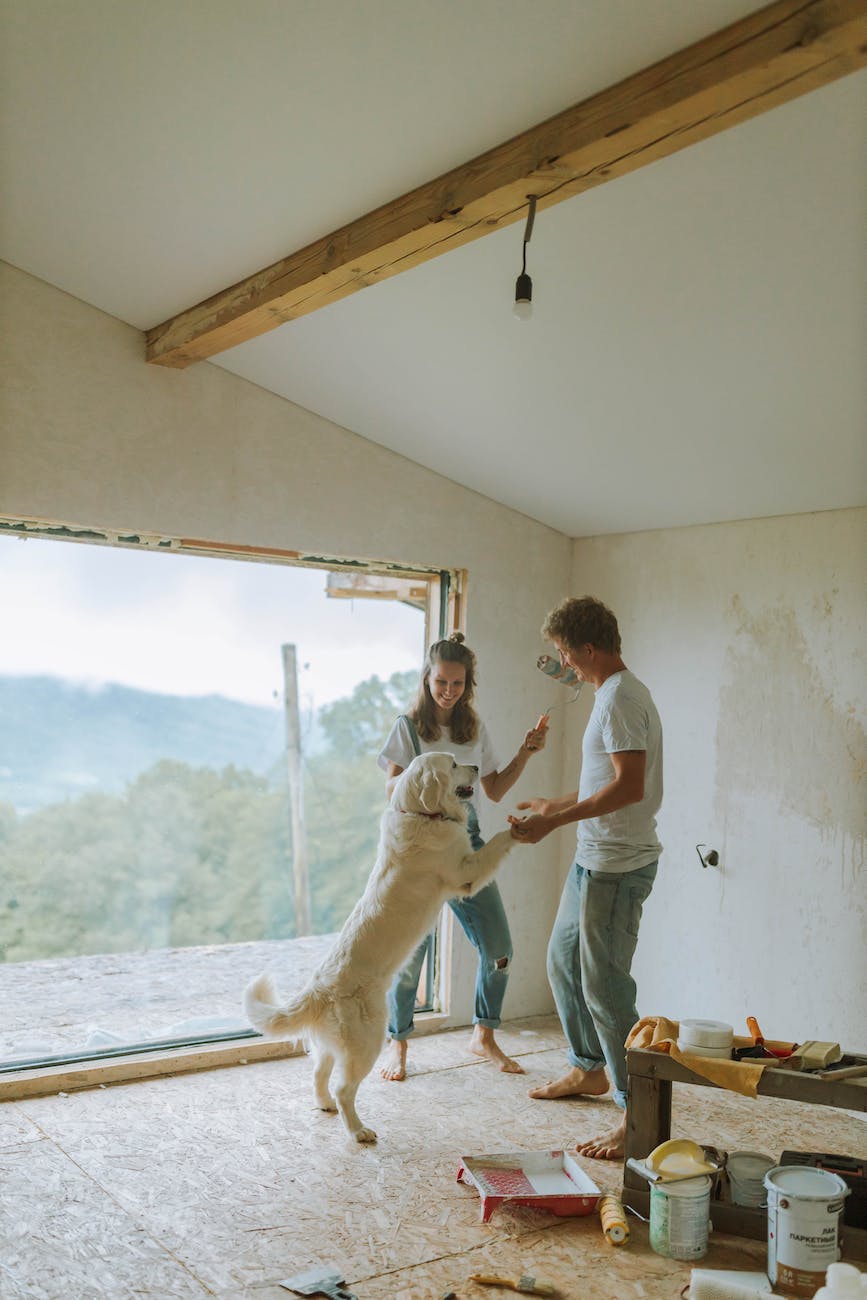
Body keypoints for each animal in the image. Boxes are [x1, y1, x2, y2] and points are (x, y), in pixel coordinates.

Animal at [244, 748, 514, 1144]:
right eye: (452, 763)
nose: (477, 767)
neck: (420, 813)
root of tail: (319, 990)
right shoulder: (467, 872)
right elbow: (498, 844)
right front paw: (524, 825)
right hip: (368, 1041)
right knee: (344, 1089)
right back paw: (358, 1131)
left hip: (331, 1046)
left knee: (319, 1074)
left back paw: (324, 1105)